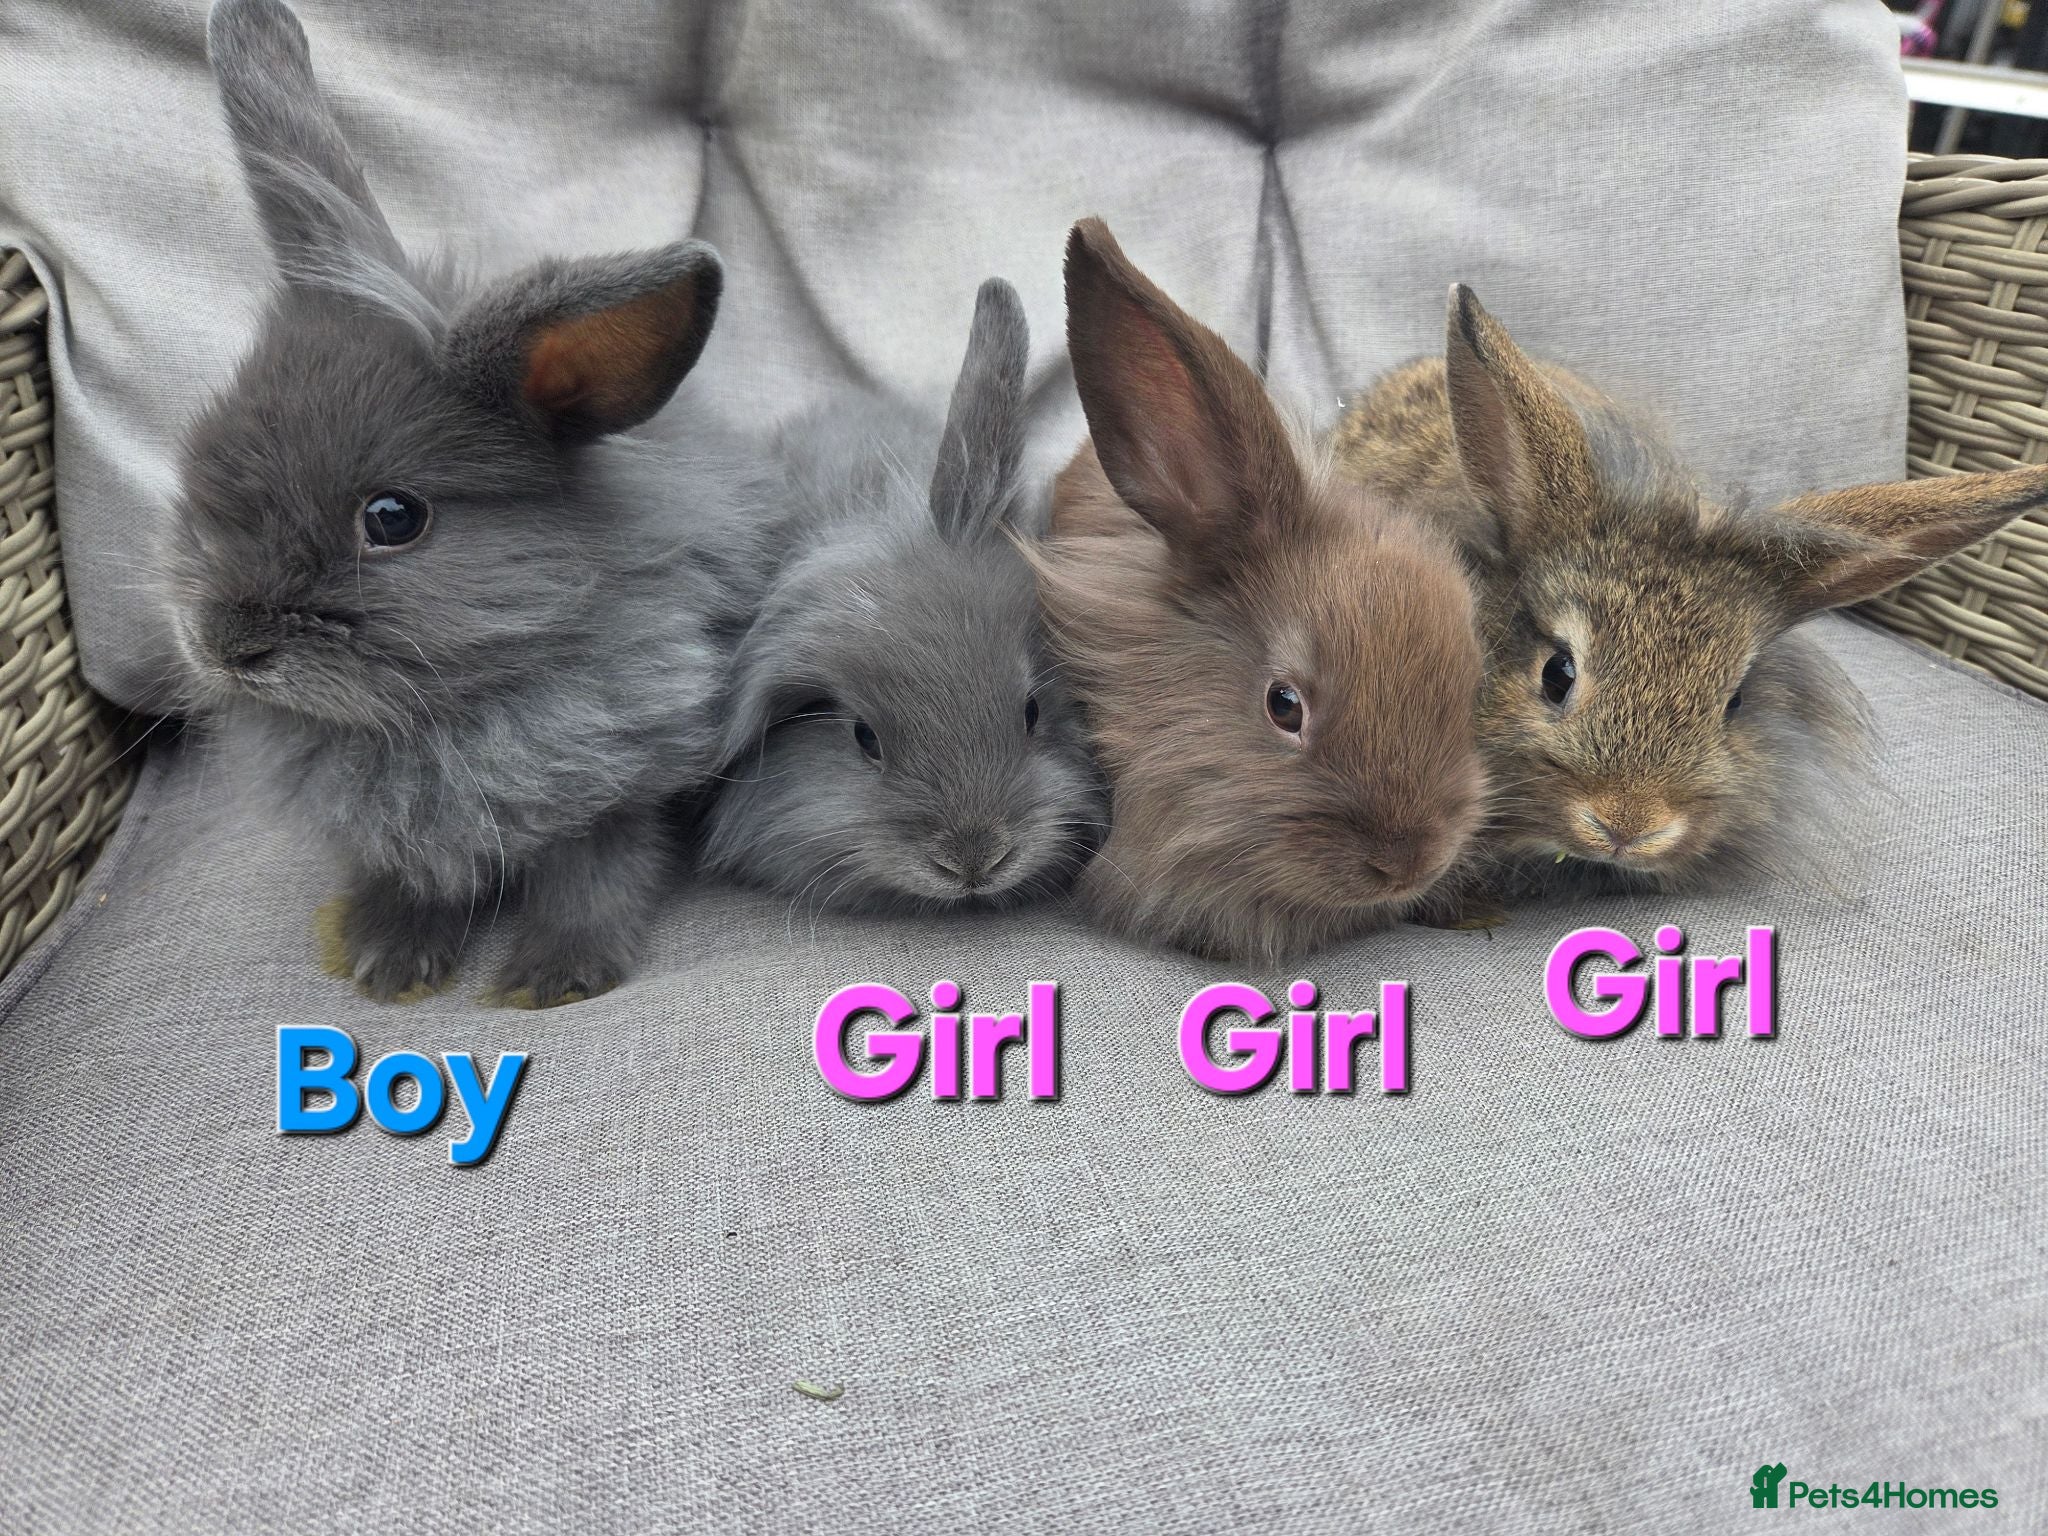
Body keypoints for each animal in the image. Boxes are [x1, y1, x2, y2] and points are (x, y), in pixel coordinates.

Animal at [167, 0, 783, 1006]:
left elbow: (594, 878)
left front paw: (551, 980)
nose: (227, 645)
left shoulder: (616, 794)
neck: (447, 716)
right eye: (198, 464)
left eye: (393, 519)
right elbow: (409, 879)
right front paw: (385, 964)